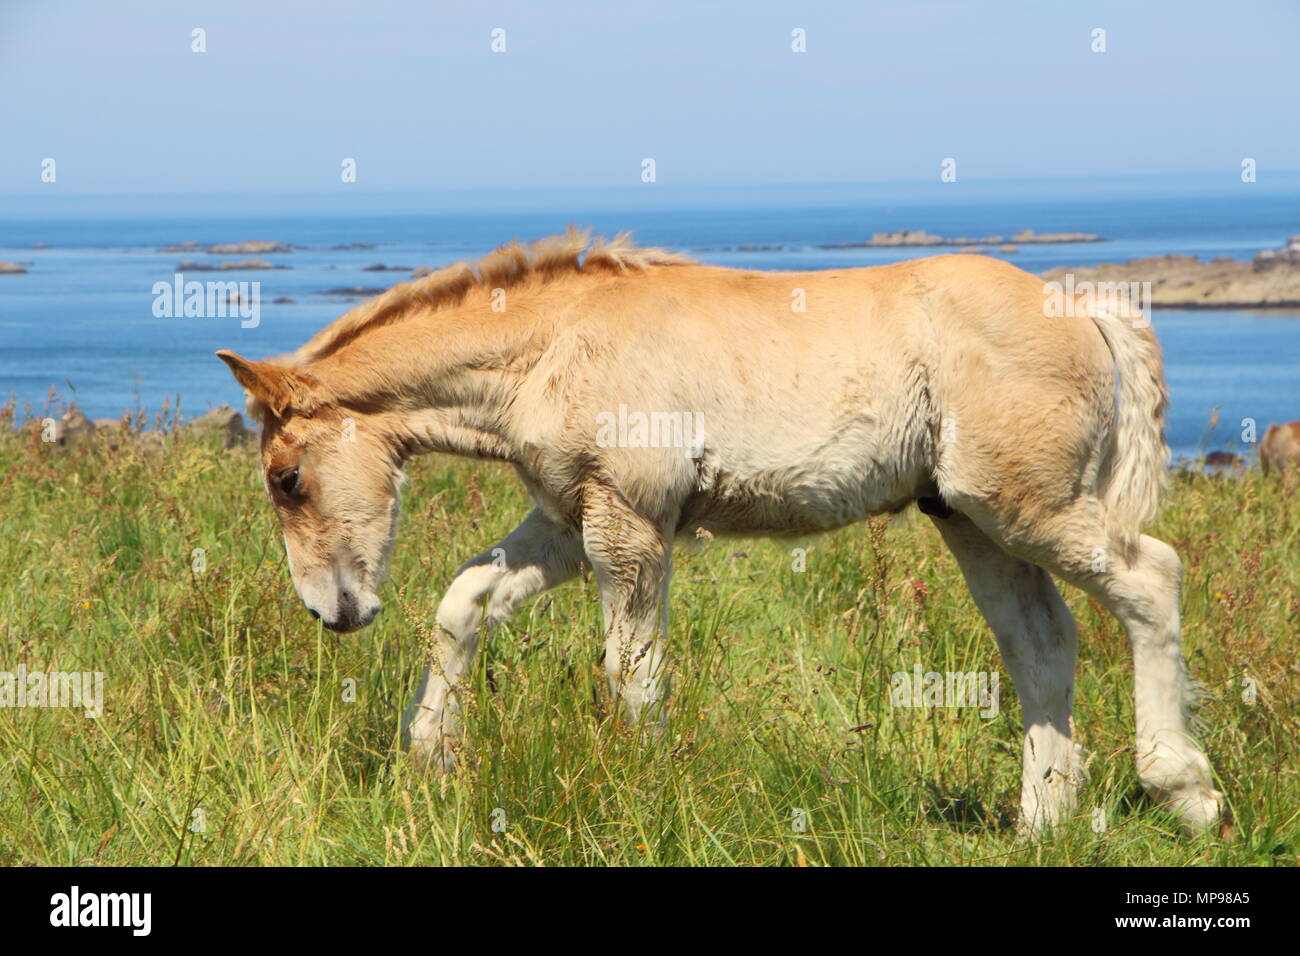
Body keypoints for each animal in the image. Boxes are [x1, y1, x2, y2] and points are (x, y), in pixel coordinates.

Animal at [218, 227, 1222, 832]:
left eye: (286, 477)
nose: (331, 611)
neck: (553, 345)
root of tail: (1082, 307)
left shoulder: (630, 524)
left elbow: (630, 672)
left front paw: (641, 792)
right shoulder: (569, 517)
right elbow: (466, 599)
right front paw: (430, 757)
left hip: (1025, 506)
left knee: (1151, 579)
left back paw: (1185, 791)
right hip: (969, 518)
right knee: (1041, 643)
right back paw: (1043, 819)